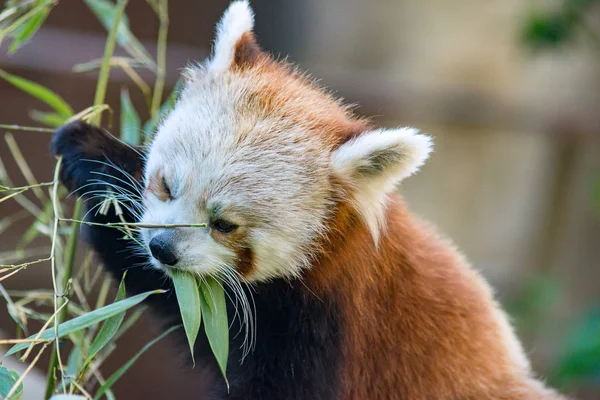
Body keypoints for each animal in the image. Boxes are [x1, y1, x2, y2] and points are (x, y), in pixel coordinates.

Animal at [50, 1, 568, 398]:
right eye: (165, 185)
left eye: (225, 225)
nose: (163, 248)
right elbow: (174, 299)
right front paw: (89, 156)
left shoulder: (332, 336)